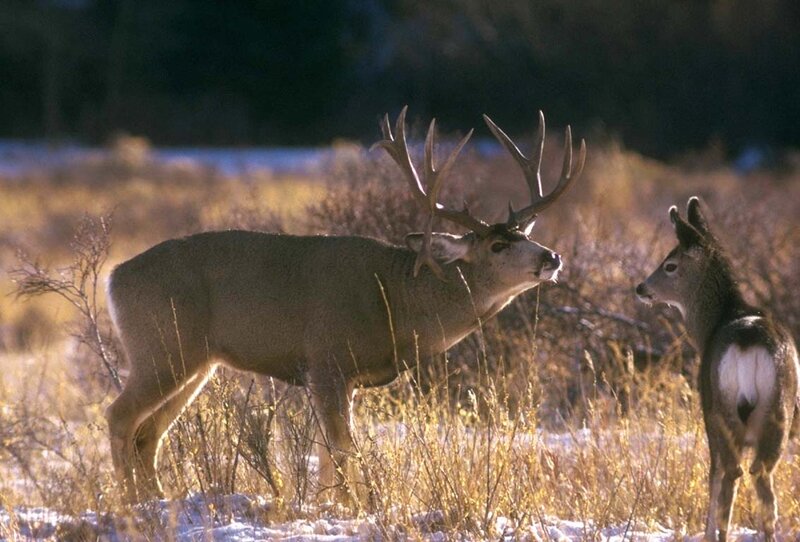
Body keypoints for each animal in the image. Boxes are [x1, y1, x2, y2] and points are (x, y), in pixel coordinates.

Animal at [105, 106, 586, 503]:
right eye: (499, 245)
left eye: (525, 235)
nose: (551, 257)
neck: (395, 301)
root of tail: (113, 278)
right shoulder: (327, 360)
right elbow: (341, 447)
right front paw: (352, 505)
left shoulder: (346, 378)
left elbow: (328, 451)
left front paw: (329, 503)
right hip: (162, 346)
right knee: (120, 416)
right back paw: (130, 503)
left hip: (196, 361)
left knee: (148, 432)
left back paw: (157, 498)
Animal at [635, 197, 800, 541]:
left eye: (670, 264)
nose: (640, 288)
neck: (711, 325)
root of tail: (749, 342)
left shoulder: (705, 406)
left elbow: (713, 476)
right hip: (780, 410)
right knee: (763, 480)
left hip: (721, 408)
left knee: (730, 474)